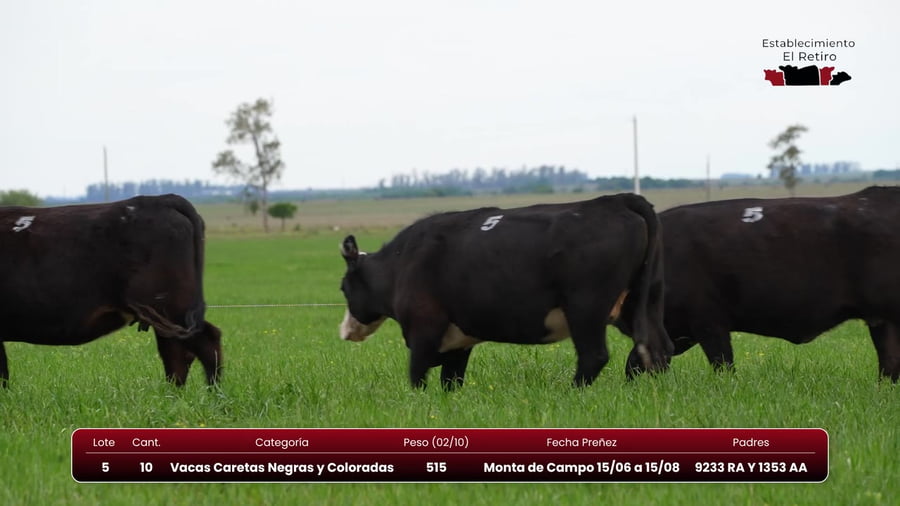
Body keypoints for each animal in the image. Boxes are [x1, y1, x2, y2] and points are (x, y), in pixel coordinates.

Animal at [337, 193, 673, 390]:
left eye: (343, 287)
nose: (345, 330)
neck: (401, 262)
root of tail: (615, 200)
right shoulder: (458, 341)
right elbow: (451, 381)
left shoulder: (424, 329)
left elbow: (417, 377)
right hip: (645, 300)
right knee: (659, 349)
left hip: (586, 306)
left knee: (595, 355)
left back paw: (573, 392)